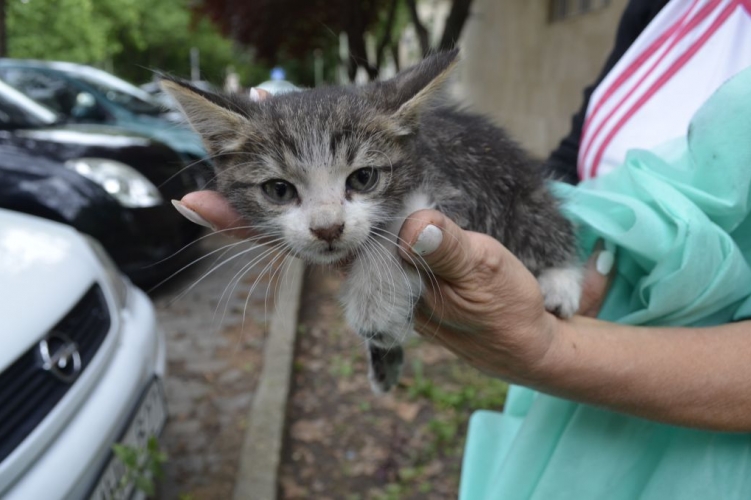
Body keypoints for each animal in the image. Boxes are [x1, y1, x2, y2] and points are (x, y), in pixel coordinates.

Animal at [162, 50, 580, 394]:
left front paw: (375, 303)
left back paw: (561, 283)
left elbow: (402, 224)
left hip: (517, 193)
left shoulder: (455, 187)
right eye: (279, 190)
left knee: (549, 229)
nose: (328, 229)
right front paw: (384, 350)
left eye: (363, 178)